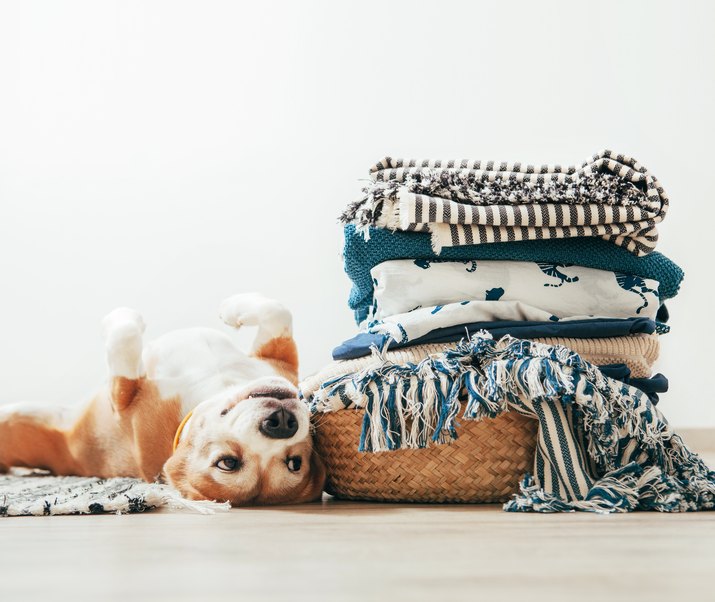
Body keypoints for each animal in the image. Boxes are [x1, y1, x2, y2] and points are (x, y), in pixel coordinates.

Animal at [0, 292, 324, 504]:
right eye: (229, 462)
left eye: (293, 463)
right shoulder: (278, 361)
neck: (213, 388)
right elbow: (277, 310)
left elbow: (126, 335)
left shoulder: (122, 397)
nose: (281, 423)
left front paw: (124, 318)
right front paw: (233, 308)